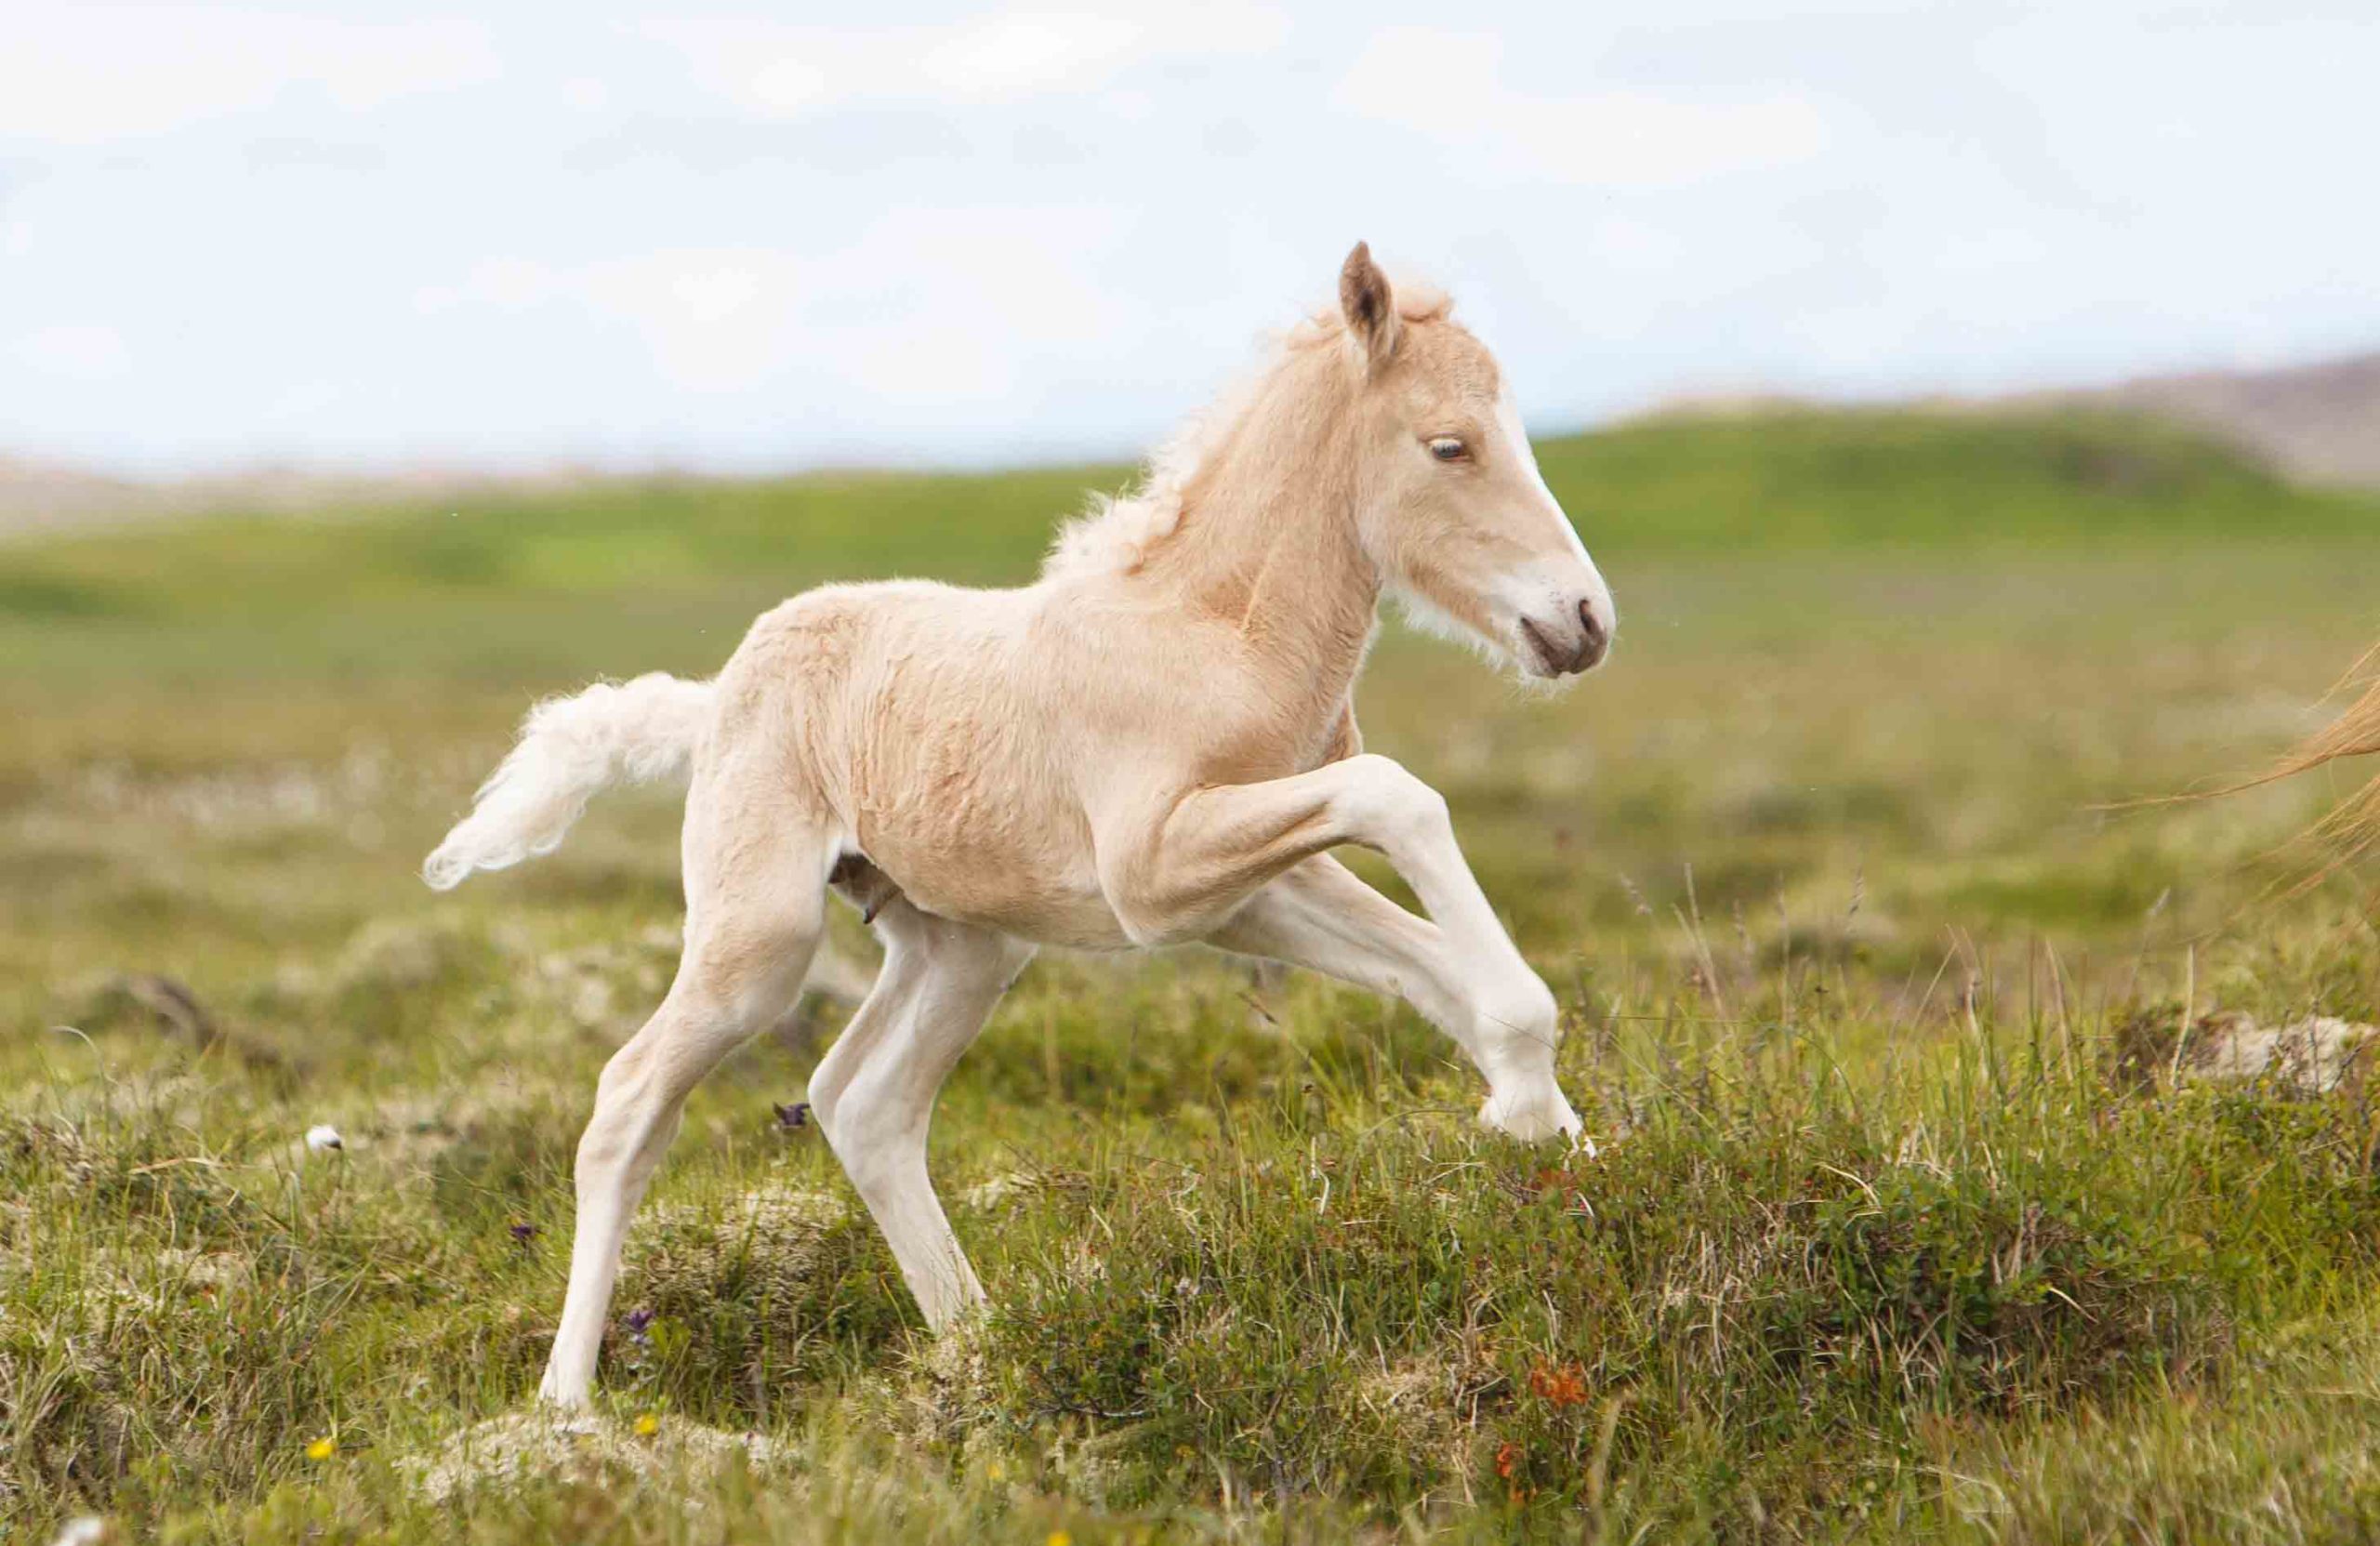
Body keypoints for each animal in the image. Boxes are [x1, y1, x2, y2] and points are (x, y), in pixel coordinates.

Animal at [422, 243, 1617, 1410]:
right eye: (1449, 445)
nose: (1584, 621)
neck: (1215, 635)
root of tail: (714, 695)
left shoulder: (1250, 888)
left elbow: (1428, 963)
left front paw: (1555, 1142)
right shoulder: (1156, 871)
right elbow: (1400, 798)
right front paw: (1532, 1104)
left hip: (965, 945)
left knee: (863, 1104)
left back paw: (980, 1346)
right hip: (757, 940)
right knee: (631, 1100)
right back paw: (566, 1406)